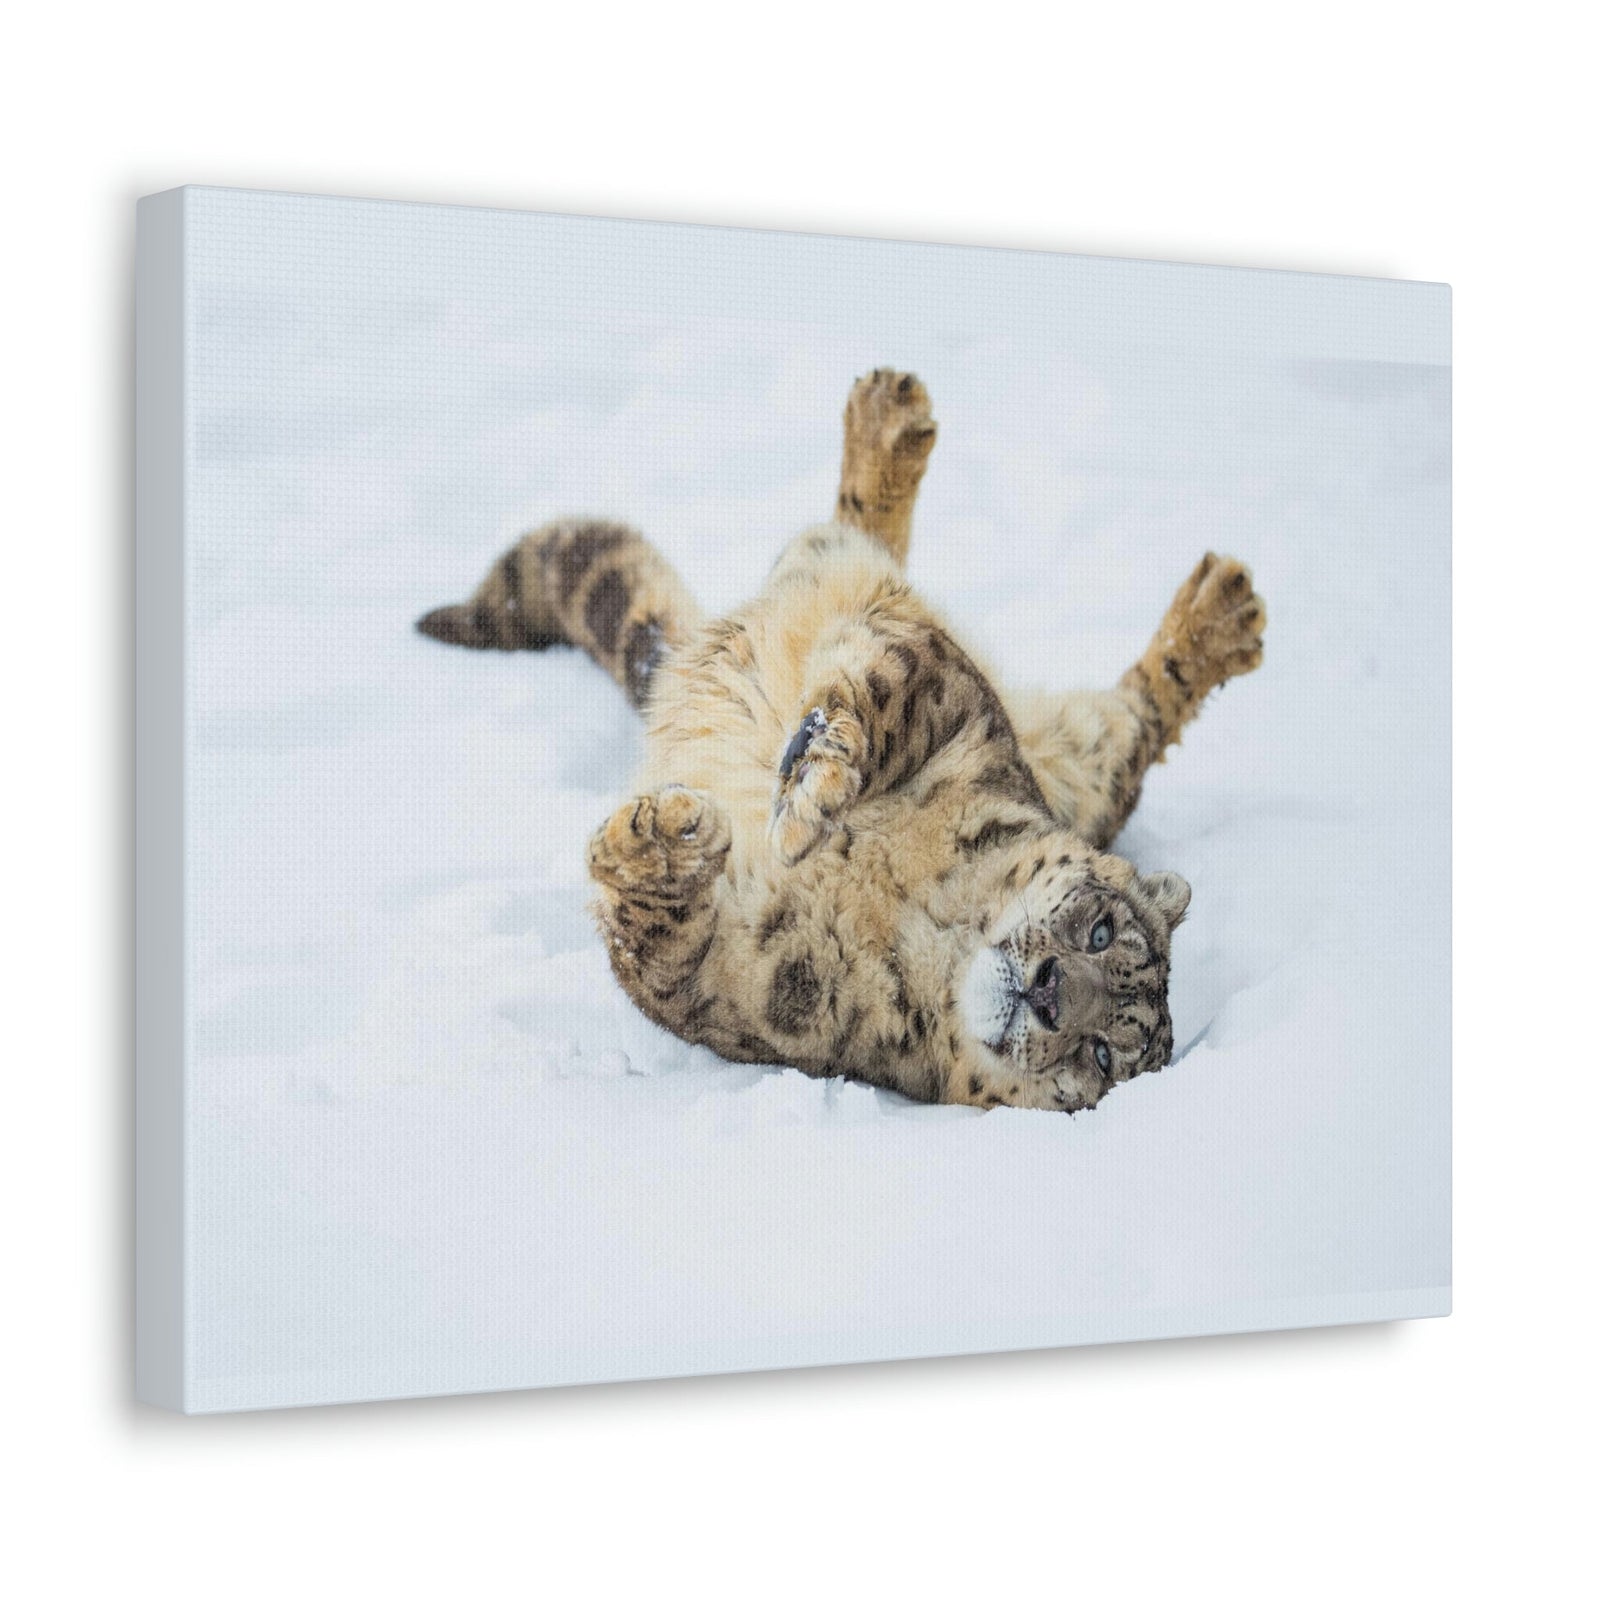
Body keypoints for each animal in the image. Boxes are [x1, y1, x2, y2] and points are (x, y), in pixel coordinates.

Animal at [417, 370, 1266, 1111]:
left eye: (1102, 1056)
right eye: (1100, 929)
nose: (1053, 991)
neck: (926, 918)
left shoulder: (746, 992)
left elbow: (659, 949)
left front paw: (673, 840)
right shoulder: (958, 702)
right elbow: (886, 694)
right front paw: (804, 793)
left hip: (1090, 765)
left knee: (1137, 726)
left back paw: (1225, 617)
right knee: (852, 538)